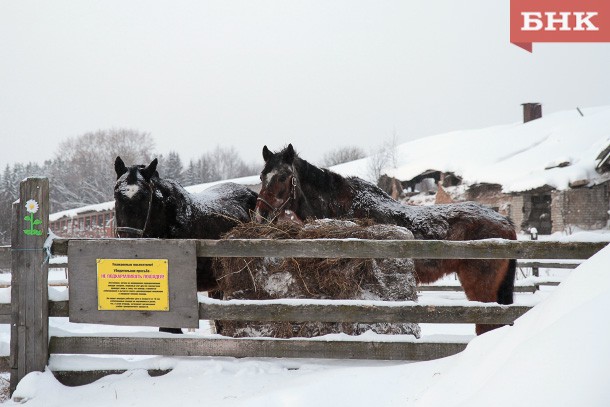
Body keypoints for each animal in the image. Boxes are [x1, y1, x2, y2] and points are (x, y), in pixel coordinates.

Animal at [254, 145, 516, 336]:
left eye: (283, 176)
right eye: (262, 176)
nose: (261, 214)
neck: (342, 206)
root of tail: (506, 222)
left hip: (480, 288)